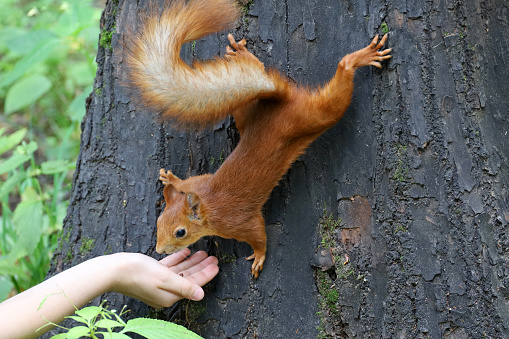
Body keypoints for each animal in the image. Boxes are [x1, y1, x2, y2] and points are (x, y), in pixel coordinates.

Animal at [123, 0, 388, 278]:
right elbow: (192, 181)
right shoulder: (202, 183)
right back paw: (244, 56)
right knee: (257, 73)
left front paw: (259, 257)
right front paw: (173, 179)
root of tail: (283, 103)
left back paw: (359, 58)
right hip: (245, 111)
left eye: (180, 232)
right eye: (159, 221)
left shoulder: (240, 221)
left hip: (315, 117)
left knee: (340, 77)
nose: (160, 250)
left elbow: (258, 235)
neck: (209, 205)